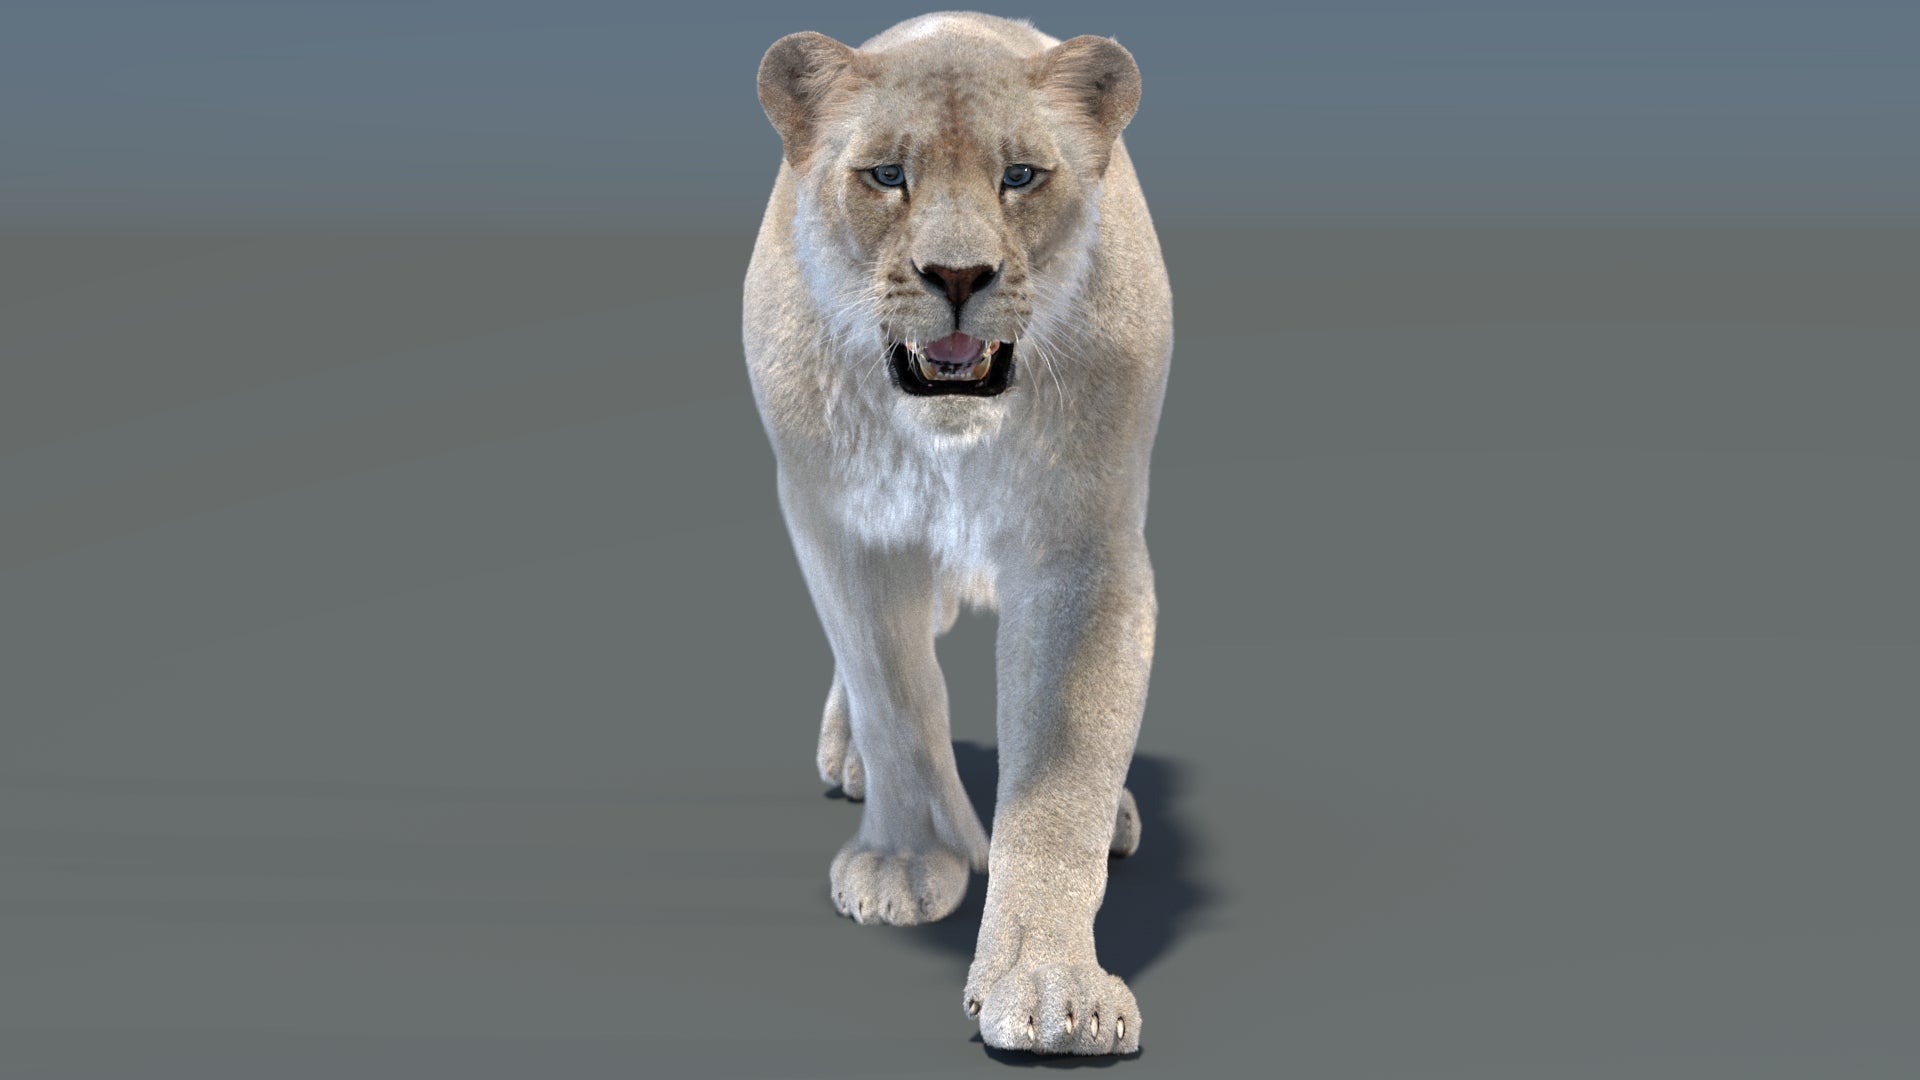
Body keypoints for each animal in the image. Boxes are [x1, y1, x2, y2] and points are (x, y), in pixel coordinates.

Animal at [743, 12, 1172, 1055]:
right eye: (887, 175)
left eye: (1020, 175)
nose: (958, 275)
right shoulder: (840, 521)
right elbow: (893, 694)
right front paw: (912, 861)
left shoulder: (1084, 545)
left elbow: (1061, 769)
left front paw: (1052, 987)